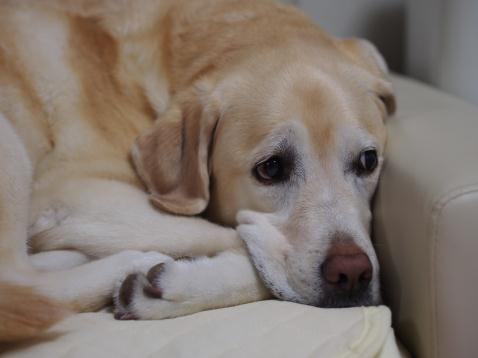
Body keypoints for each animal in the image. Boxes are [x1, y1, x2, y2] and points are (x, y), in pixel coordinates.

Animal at [0, 0, 396, 338]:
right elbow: (236, 240)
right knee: (20, 281)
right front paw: (180, 284)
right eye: (271, 168)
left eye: (367, 161)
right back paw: (130, 261)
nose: (353, 274)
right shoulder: (78, 191)